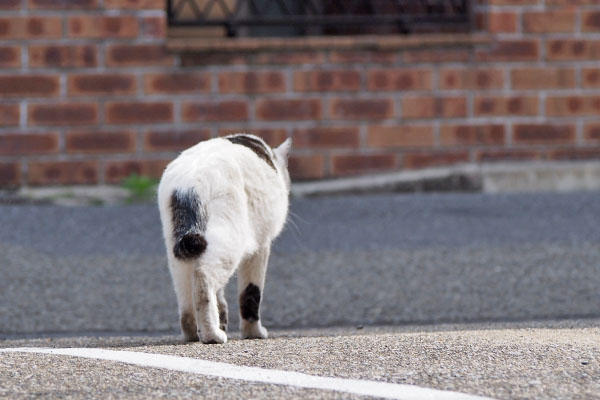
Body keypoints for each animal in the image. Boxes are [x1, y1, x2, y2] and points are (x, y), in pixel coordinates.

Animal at [158, 134, 292, 344]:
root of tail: (188, 186)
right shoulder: (261, 245)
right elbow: (251, 293)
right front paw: (253, 333)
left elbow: (220, 294)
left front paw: (222, 318)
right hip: (230, 240)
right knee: (203, 278)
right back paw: (212, 334)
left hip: (176, 251)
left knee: (186, 296)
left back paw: (193, 333)